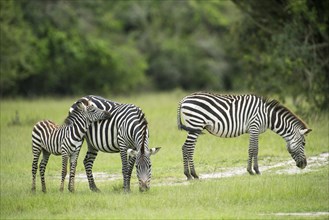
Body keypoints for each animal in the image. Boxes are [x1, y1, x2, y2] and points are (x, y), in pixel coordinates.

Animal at [177, 92, 310, 180]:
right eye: (304, 143)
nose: (304, 165)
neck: (268, 116)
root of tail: (184, 98)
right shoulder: (254, 126)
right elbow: (254, 149)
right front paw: (254, 171)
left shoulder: (254, 130)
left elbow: (253, 149)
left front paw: (252, 170)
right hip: (196, 124)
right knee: (188, 148)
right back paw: (193, 175)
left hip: (195, 127)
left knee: (185, 147)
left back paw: (189, 175)